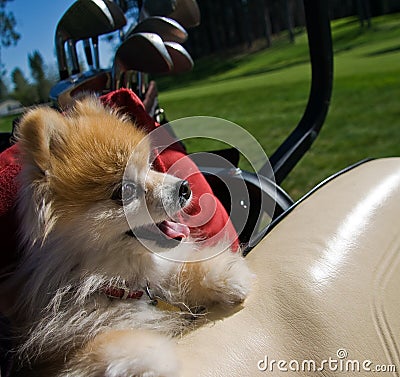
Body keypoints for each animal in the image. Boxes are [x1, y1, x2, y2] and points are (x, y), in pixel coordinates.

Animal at [8, 97, 253, 376]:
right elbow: (114, 346)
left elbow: (189, 269)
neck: (124, 285)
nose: (184, 187)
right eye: (124, 190)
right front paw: (158, 362)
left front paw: (229, 275)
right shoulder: (58, 356)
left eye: (150, 166)